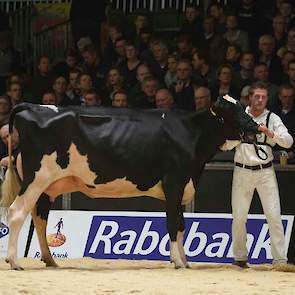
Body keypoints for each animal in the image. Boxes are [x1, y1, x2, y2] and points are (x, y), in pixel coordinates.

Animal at [0, 95, 260, 270]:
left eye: (243, 106)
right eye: (231, 110)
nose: (255, 126)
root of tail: (32, 106)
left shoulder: (182, 186)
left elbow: (182, 225)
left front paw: (185, 260)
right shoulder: (174, 183)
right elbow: (173, 223)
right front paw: (177, 261)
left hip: (48, 186)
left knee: (39, 217)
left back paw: (50, 259)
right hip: (37, 178)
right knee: (16, 212)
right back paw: (14, 261)